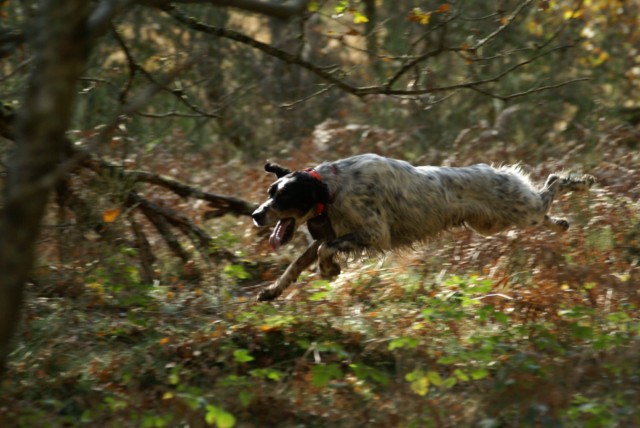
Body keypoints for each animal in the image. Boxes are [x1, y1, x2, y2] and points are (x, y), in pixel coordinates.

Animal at [252, 154, 592, 300]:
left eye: (283, 196)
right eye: (270, 192)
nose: (255, 214)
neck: (332, 188)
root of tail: (497, 171)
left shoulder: (374, 234)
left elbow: (325, 249)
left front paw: (329, 271)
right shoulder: (336, 233)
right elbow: (297, 263)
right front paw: (272, 291)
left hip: (521, 210)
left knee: (553, 183)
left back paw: (582, 183)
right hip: (496, 222)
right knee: (547, 198)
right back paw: (562, 222)